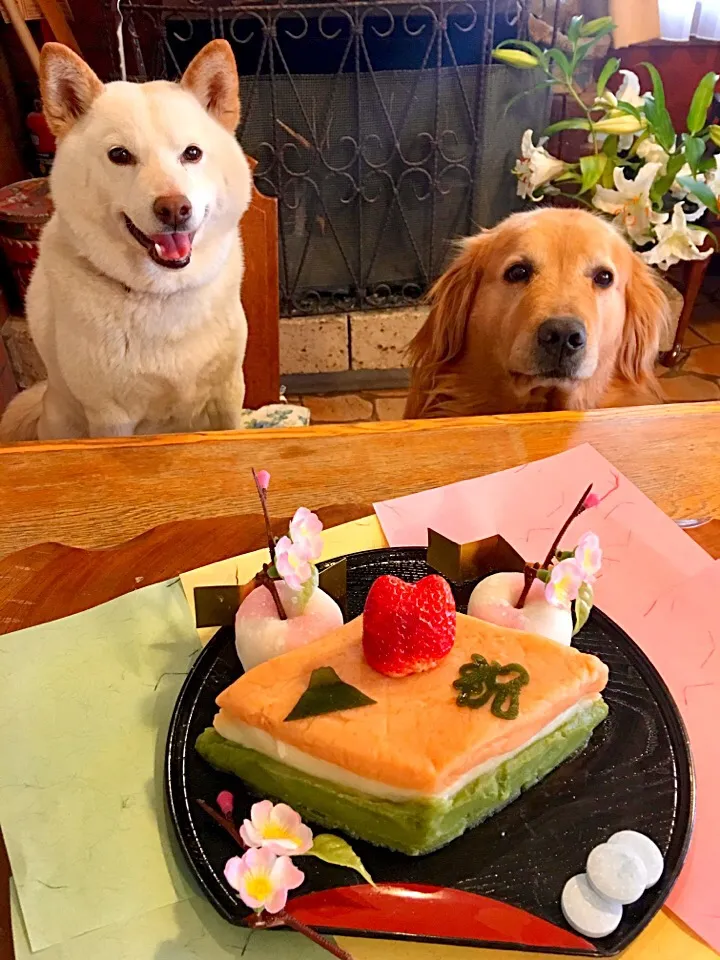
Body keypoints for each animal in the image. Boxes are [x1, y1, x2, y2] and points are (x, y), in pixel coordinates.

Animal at [0, 39, 253, 440]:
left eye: (192, 153)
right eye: (119, 155)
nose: (174, 209)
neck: (162, 296)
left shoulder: (228, 392)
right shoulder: (111, 419)